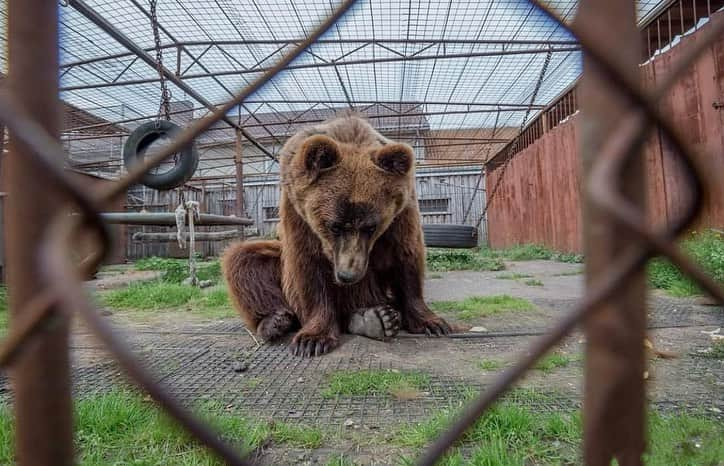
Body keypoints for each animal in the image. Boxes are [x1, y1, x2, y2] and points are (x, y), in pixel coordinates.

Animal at [222, 114, 446, 356]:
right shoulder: (297, 211)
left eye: (371, 227)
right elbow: (308, 264)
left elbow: (406, 256)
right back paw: (275, 321)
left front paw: (431, 322)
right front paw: (312, 340)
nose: (348, 276)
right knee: (244, 259)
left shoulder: (403, 210)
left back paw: (377, 319)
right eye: (334, 226)